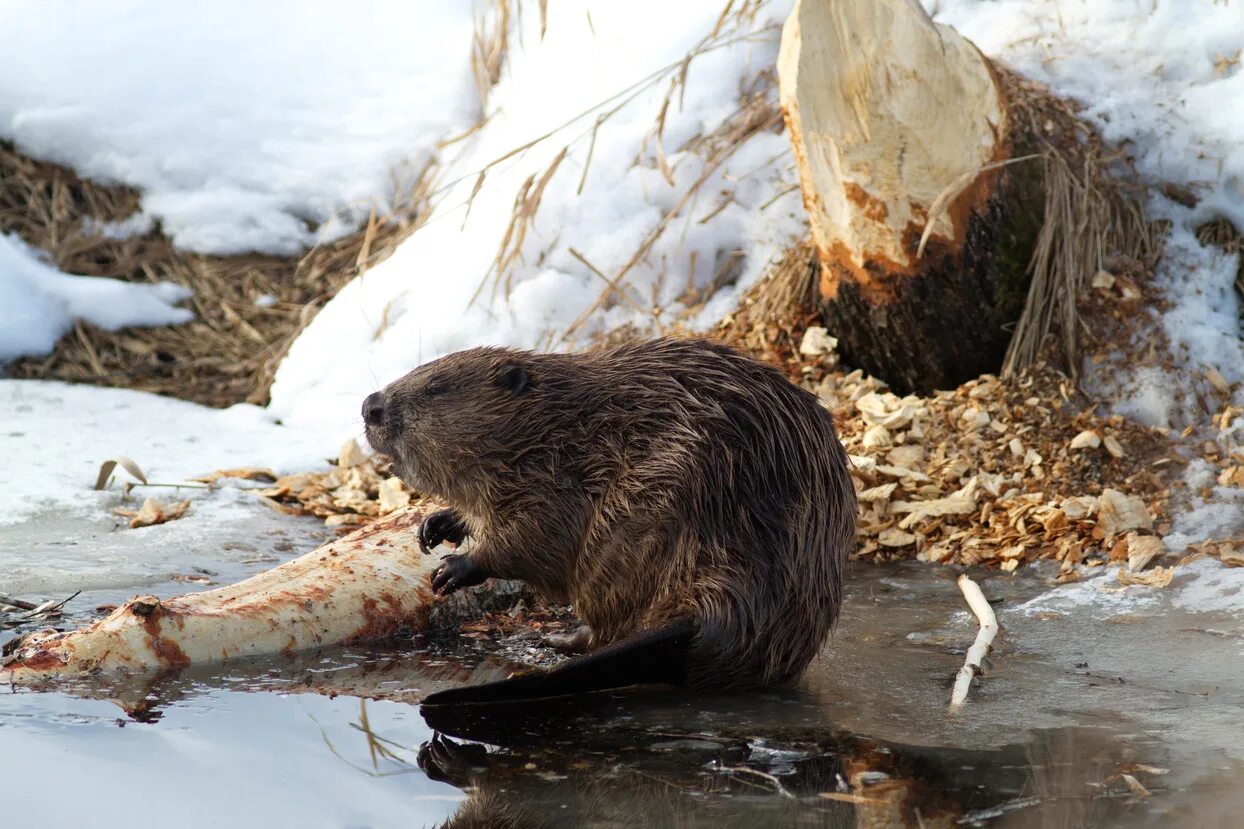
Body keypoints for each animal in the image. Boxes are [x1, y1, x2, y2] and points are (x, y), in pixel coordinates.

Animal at [360, 333, 855, 702]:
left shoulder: (560, 475)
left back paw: (559, 638)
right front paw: (435, 526)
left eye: (436, 387)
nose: (370, 406)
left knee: (606, 624)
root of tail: (716, 617)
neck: (559, 423)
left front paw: (452, 569)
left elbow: (536, 537)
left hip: (636, 528)